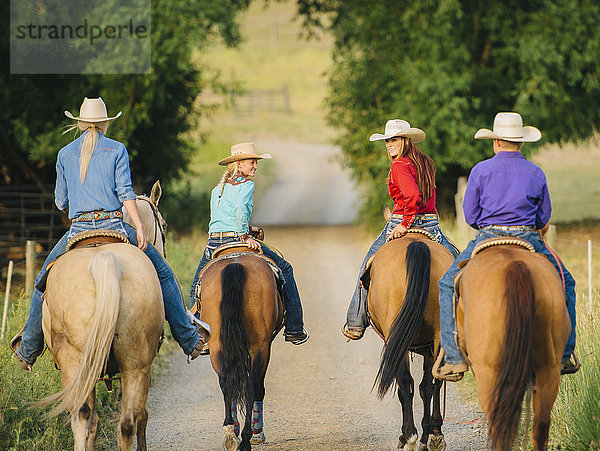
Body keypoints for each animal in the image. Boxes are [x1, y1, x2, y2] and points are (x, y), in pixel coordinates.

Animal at [39, 182, 166, 450]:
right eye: (163, 225)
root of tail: (105, 260)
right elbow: (143, 416)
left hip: (78, 365)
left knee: (84, 417)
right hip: (136, 366)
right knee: (127, 422)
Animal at [196, 247, 282, 451]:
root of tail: (234, 265)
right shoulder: (264, 346)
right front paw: (256, 434)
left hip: (217, 344)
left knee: (226, 383)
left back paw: (230, 433)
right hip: (259, 346)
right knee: (254, 386)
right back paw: (248, 437)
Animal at [366, 231, 454, 450]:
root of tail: (417, 245)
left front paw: (409, 436)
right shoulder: (430, 347)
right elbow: (427, 387)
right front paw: (429, 433)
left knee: (406, 384)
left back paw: (410, 437)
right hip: (439, 334)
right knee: (434, 381)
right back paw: (434, 437)